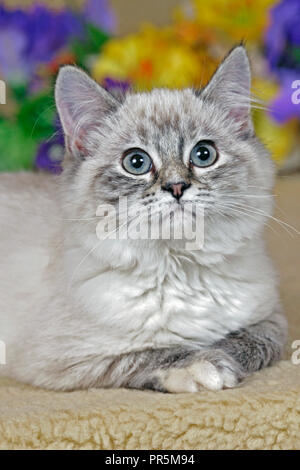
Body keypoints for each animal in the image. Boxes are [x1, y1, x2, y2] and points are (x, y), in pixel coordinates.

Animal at [0, 46, 288, 392]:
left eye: (203, 155)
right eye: (136, 163)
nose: (176, 187)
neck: (181, 266)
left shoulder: (273, 317)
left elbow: (252, 341)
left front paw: (224, 353)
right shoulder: (69, 360)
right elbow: (155, 352)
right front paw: (208, 366)